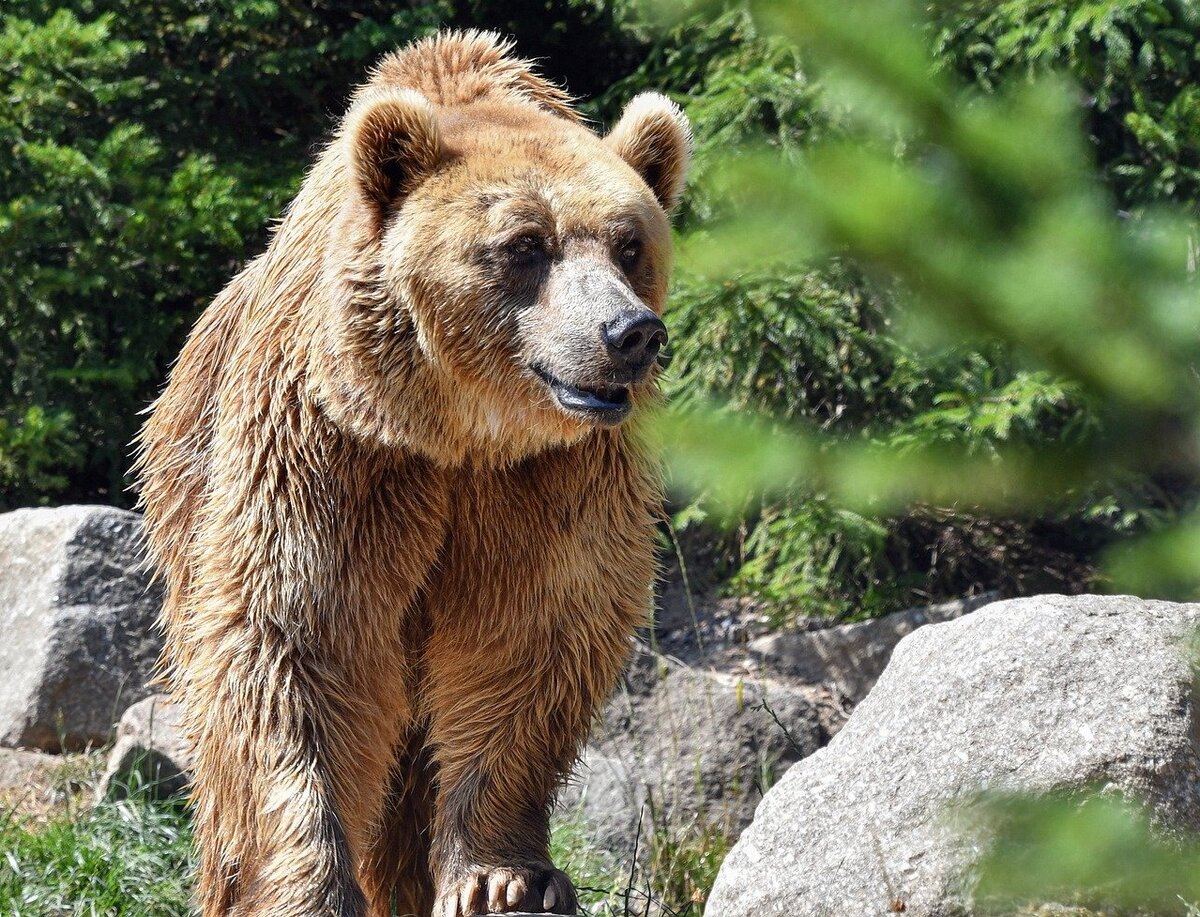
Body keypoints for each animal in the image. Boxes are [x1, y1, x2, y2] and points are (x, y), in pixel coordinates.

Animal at [135, 28, 691, 917]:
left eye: (630, 244)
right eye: (524, 244)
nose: (627, 332)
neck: (459, 429)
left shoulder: (554, 475)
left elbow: (532, 635)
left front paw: (502, 877)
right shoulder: (333, 448)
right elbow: (297, 637)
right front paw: (313, 883)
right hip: (188, 492)